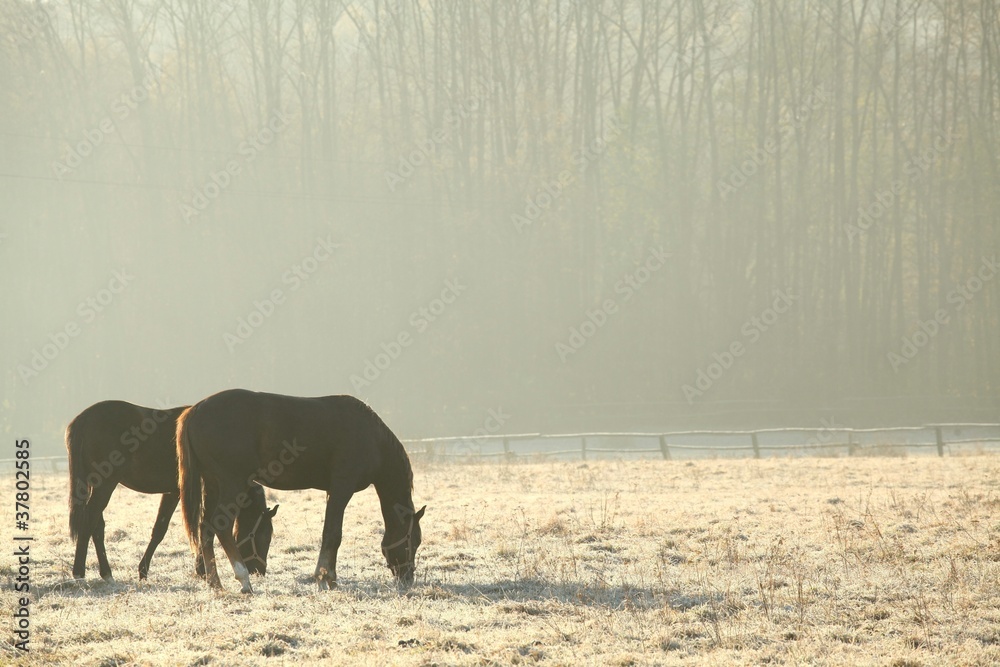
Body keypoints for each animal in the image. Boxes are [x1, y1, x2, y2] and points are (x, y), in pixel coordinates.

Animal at [66, 400, 278, 581]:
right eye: (264, 536)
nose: (259, 571)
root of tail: (82, 420)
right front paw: (202, 570)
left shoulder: (173, 492)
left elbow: (160, 529)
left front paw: (144, 570)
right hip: (105, 484)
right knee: (89, 521)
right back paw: (79, 572)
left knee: (96, 525)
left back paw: (105, 573)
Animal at [177, 389, 425, 594]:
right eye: (413, 540)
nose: (407, 577)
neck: (371, 436)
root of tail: (195, 410)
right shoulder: (342, 488)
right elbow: (333, 533)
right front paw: (324, 578)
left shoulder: (332, 491)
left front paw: (330, 578)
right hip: (232, 484)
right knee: (222, 526)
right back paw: (244, 580)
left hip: (212, 485)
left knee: (206, 528)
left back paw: (215, 583)